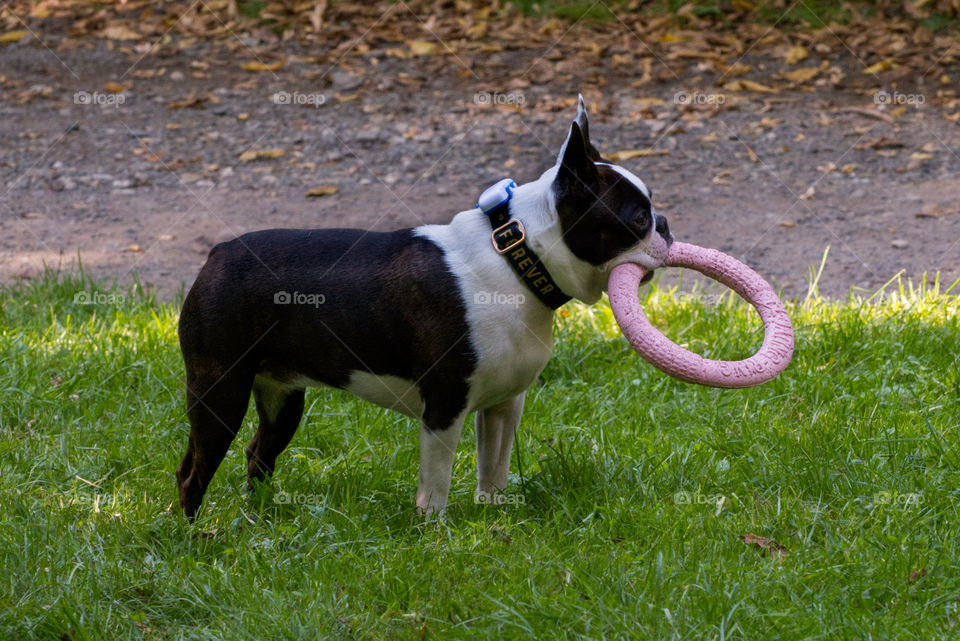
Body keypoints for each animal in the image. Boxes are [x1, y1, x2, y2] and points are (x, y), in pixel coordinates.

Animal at [176, 95, 672, 516]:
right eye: (637, 219)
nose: (665, 224)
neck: (517, 258)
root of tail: (218, 253)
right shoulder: (444, 406)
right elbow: (436, 483)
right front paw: (435, 532)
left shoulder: (503, 404)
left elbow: (493, 469)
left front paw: (493, 520)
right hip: (220, 389)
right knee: (192, 471)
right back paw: (195, 536)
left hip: (282, 397)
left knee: (258, 453)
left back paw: (260, 517)